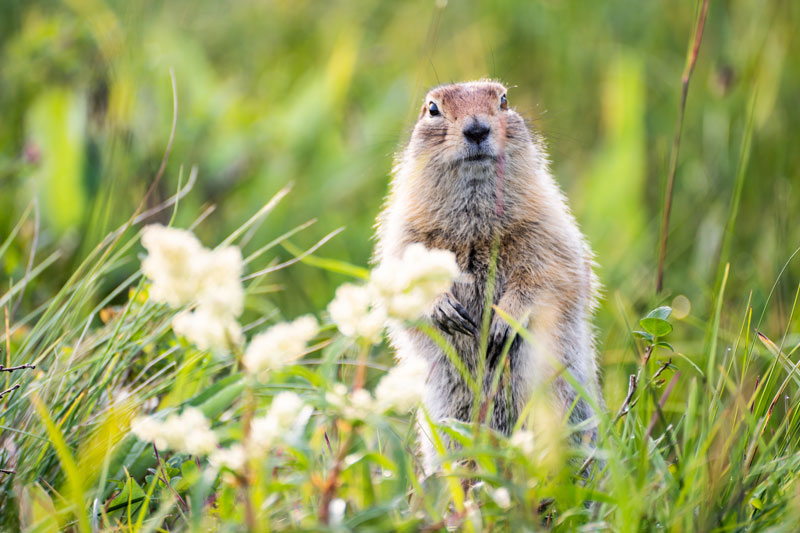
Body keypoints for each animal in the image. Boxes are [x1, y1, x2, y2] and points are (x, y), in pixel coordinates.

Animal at [376, 80, 600, 470]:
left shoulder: (546, 230)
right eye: (432, 108)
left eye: (504, 99)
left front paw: (502, 323)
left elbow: (547, 277)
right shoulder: (405, 237)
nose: (477, 128)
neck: (475, 227)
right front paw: (444, 309)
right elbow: (403, 281)